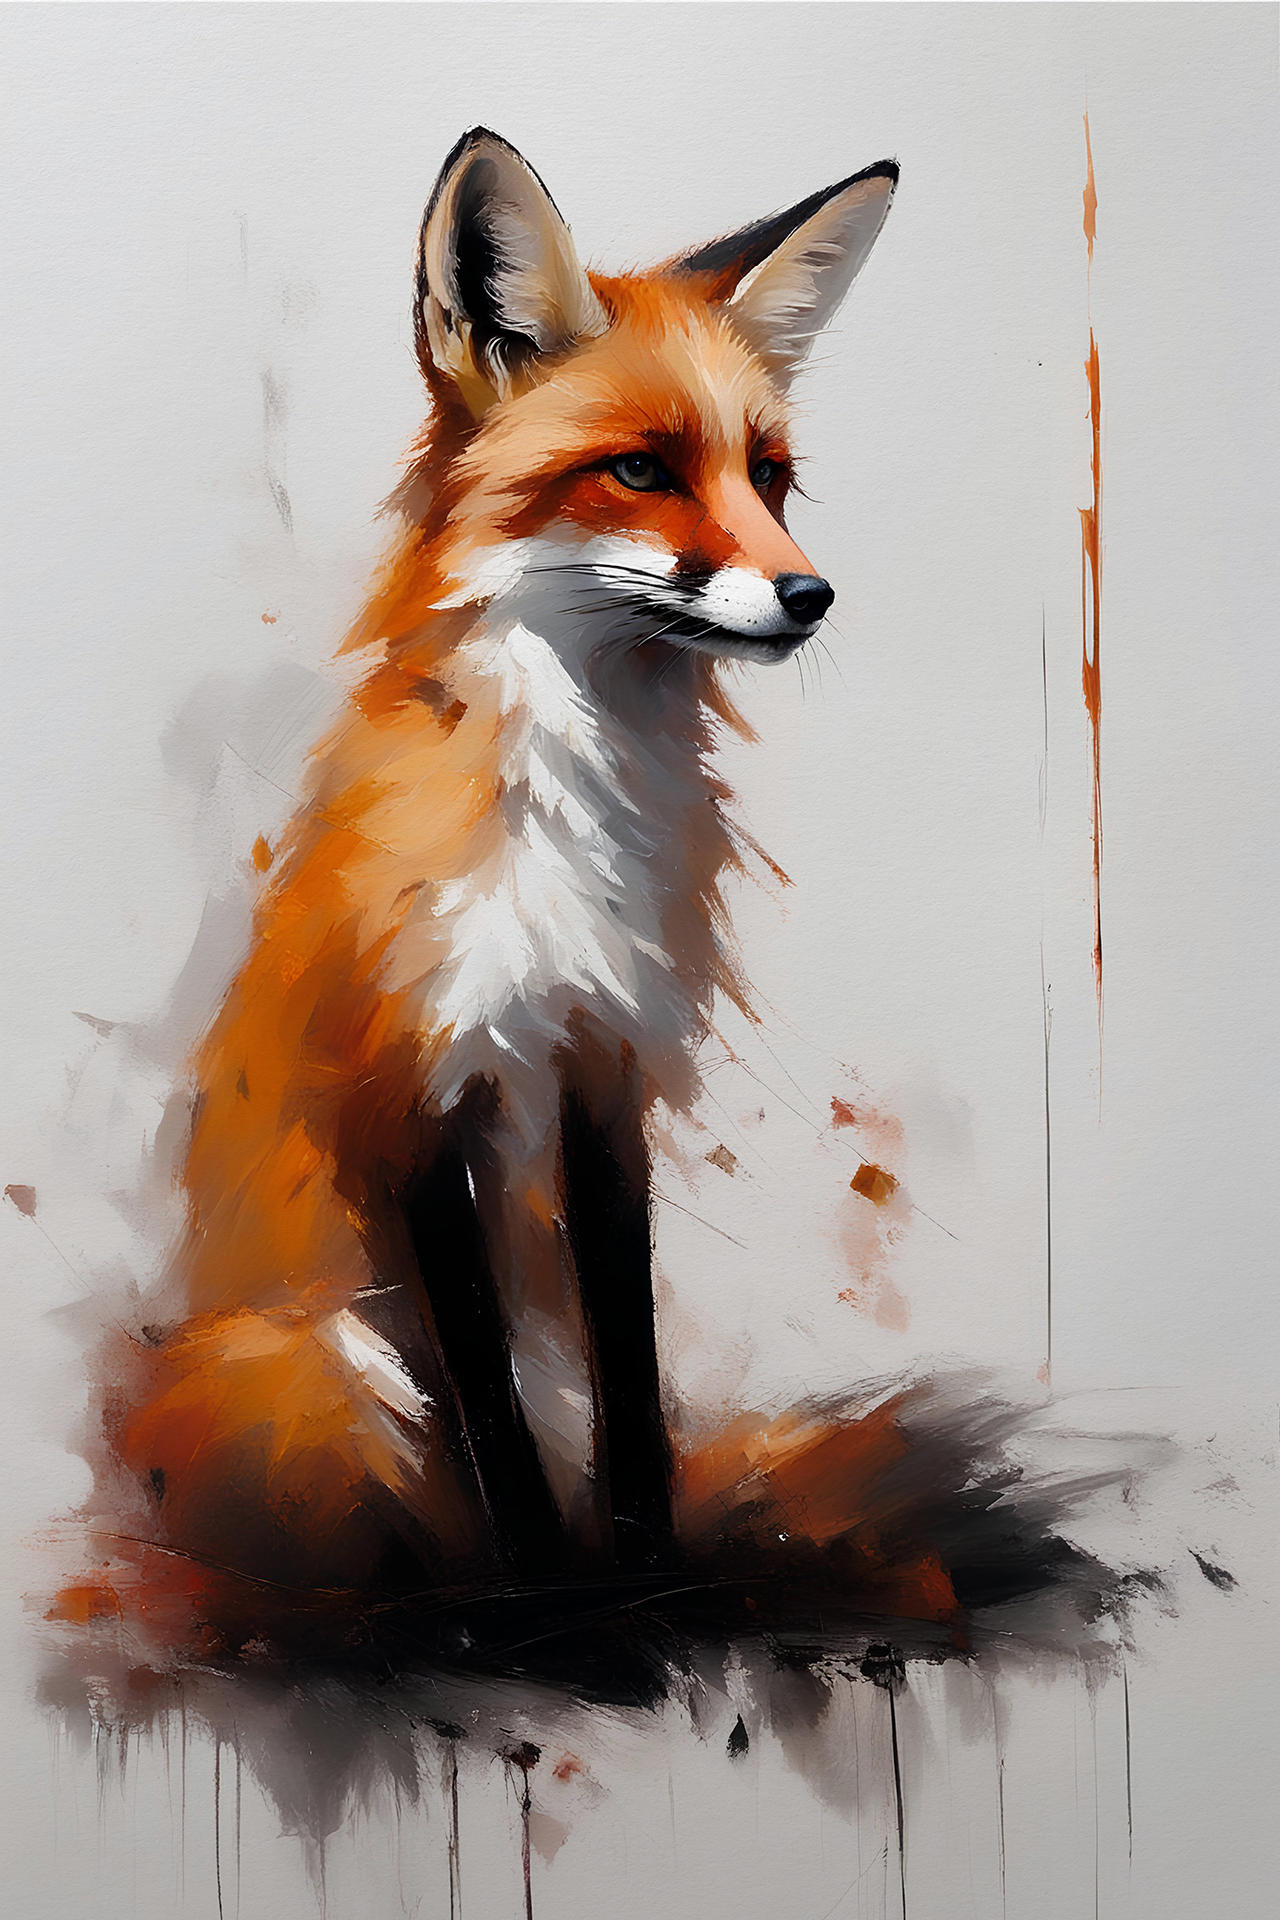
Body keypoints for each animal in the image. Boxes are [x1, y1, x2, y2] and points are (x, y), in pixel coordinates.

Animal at [114, 130, 912, 1608]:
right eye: (642, 471)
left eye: (767, 474)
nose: (809, 595)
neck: (562, 831)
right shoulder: (415, 1095)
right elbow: (484, 1399)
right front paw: (547, 1591)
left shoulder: (607, 1067)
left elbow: (630, 1367)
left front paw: (645, 1569)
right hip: (324, 1372)